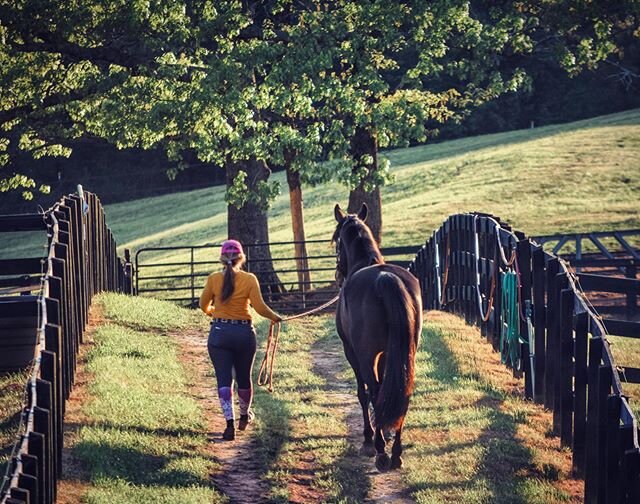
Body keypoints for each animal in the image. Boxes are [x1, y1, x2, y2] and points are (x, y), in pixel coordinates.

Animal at [332, 203, 422, 470]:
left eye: (336, 240)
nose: (337, 275)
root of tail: (386, 278)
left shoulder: (352, 352)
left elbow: (363, 393)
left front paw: (369, 438)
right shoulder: (387, 353)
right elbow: (386, 389)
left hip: (365, 354)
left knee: (371, 390)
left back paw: (381, 451)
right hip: (406, 352)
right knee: (402, 392)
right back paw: (396, 452)